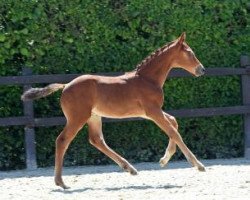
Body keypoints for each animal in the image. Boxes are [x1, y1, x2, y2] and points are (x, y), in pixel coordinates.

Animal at [21, 32, 205, 189]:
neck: (147, 79)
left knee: (96, 139)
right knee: (62, 140)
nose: (202, 69)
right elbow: (173, 131)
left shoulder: (150, 112)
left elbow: (173, 122)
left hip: (94, 116)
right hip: (77, 117)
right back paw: (61, 182)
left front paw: (164, 160)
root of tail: (66, 86)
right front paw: (197, 164)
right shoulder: (153, 111)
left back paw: (129, 168)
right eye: (190, 52)